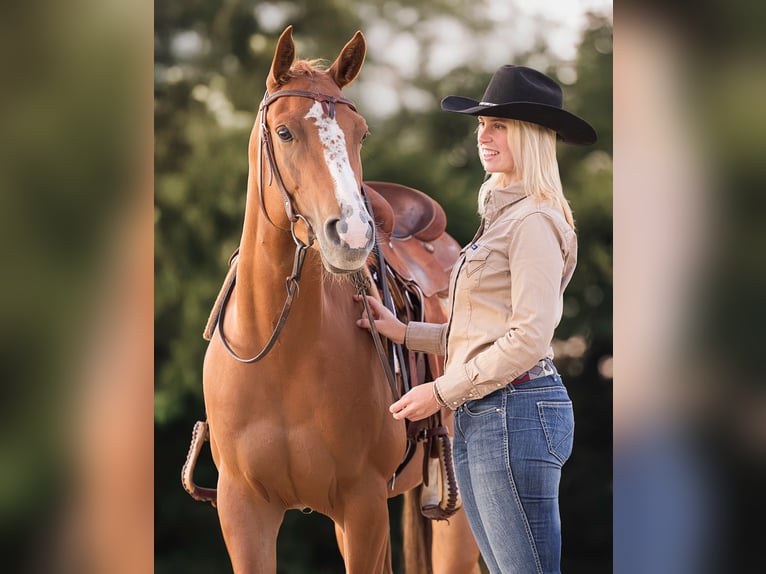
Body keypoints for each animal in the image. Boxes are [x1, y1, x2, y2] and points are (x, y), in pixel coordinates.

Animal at [192, 26, 480, 573]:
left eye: (360, 133)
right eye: (284, 132)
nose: (351, 235)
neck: (281, 352)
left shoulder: (362, 505)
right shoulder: (243, 511)